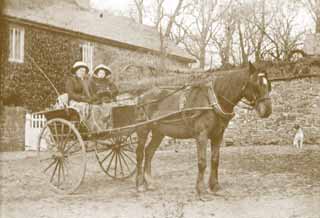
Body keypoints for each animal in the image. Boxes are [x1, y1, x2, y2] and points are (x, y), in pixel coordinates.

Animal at [134, 62, 272, 197]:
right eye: (256, 83)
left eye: (269, 85)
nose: (267, 111)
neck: (213, 101)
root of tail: (141, 97)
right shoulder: (201, 135)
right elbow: (202, 162)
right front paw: (201, 190)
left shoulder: (218, 135)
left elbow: (215, 160)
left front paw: (215, 187)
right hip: (143, 129)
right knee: (140, 153)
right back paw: (139, 185)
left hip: (159, 132)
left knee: (149, 152)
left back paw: (149, 182)